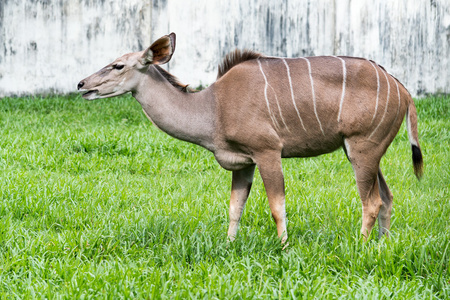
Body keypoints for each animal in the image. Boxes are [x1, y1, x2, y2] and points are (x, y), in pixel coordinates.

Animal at [78, 32, 422, 244]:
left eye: (118, 65)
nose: (82, 84)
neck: (213, 107)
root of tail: (403, 90)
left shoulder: (267, 151)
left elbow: (276, 206)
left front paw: (284, 248)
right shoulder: (243, 163)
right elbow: (235, 207)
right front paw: (229, 246)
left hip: (362, 148)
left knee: (372, 201)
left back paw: (360, 247)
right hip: (363, 152)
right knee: (388, 197)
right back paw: (381, 246)